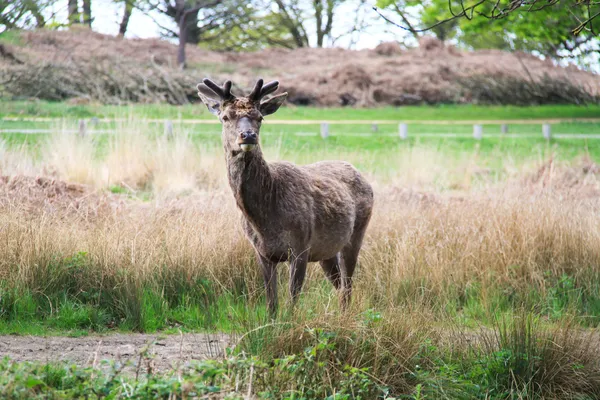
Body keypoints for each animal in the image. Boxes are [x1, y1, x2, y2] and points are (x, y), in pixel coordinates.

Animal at [197, 78, 376, 316]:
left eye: (260, 117)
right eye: (225, 117)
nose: (248, 135)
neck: (265, 219)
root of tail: (361, 174)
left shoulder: (300, 246)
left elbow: (292, 301)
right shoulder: (262, 252)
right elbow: (271, 303)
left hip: (357, 233)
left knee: (348, 285)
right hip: (327, 250)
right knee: (339, 284)